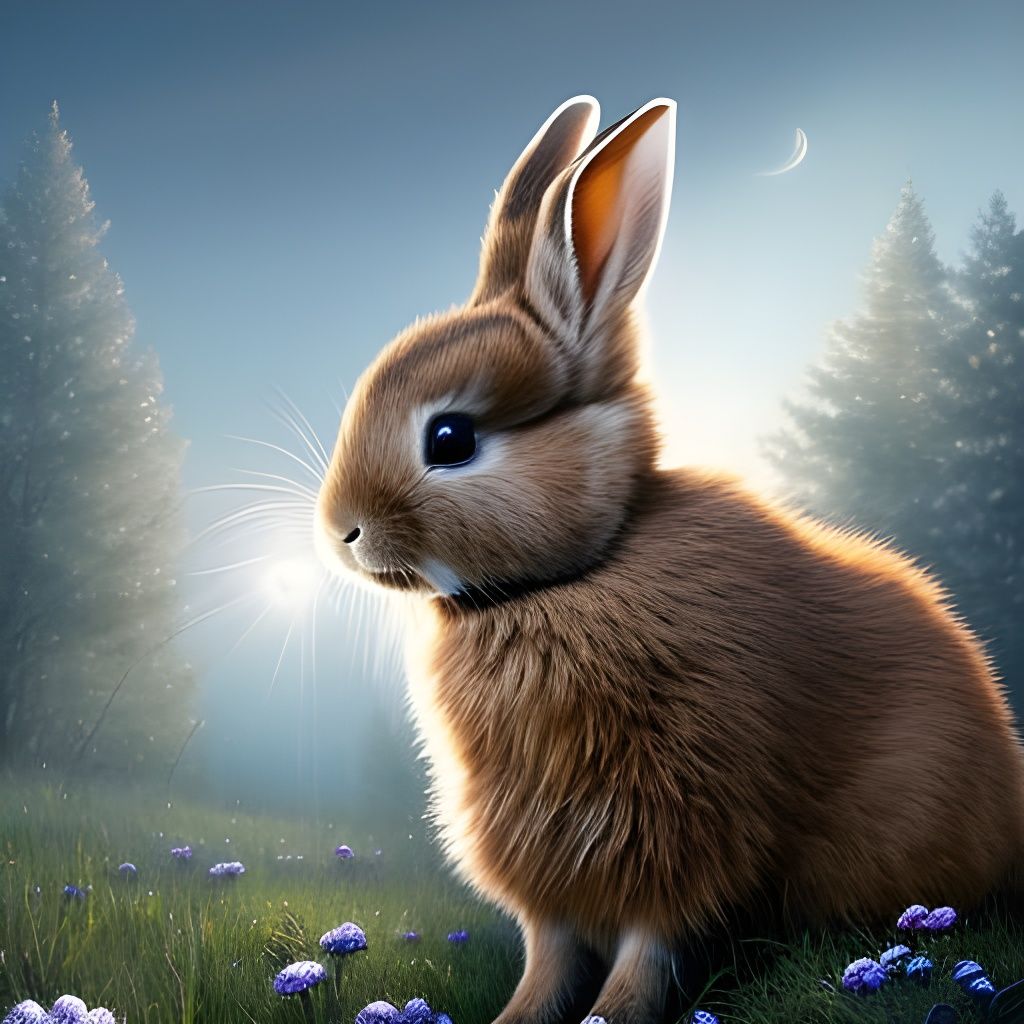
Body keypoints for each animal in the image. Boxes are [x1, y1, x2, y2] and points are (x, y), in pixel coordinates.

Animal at [315, 95, 1024, 1024]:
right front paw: (518, 1016)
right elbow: (550, 956)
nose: (340, 530)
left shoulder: (682, 831)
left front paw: (608, 1017)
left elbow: (650, 951)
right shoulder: (551, 867)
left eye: (450, 438)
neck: (569, 577)